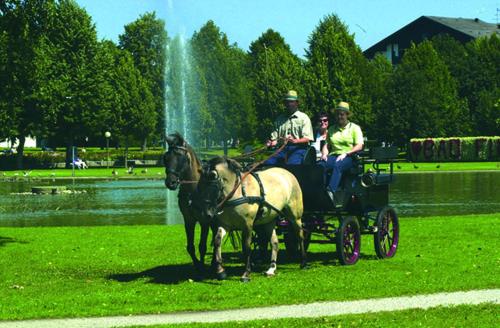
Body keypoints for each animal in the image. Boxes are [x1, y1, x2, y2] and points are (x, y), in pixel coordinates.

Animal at [163, 132, 212, 272]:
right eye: (166, 157)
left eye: (180, 157)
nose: (170, 182)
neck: (194, 189)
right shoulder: (188, 220)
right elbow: (190, 246)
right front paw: (197, 264)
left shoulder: (204, 220)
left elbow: (202, 246)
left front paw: (202, 265)